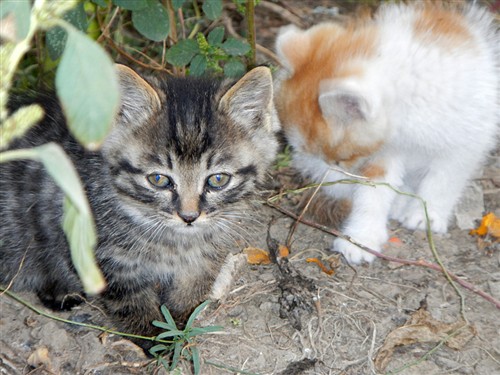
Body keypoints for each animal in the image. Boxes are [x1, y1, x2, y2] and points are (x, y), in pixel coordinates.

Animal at [0, 64, 280, 344]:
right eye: (159, 180)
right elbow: (131, 301)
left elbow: (191, 290)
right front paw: (156, 338)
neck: (175, 242)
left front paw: (179, 326)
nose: (189, 216)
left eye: (217, 179)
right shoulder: (102, 254)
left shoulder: (203, 256)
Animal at [276, 2, 498, 264]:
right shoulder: (382, 154)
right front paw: (361, 238)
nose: (327, 177)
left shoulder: (466, 140)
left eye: (340, 160)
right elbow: (372, 193)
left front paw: (427, 215)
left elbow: (445, 179)